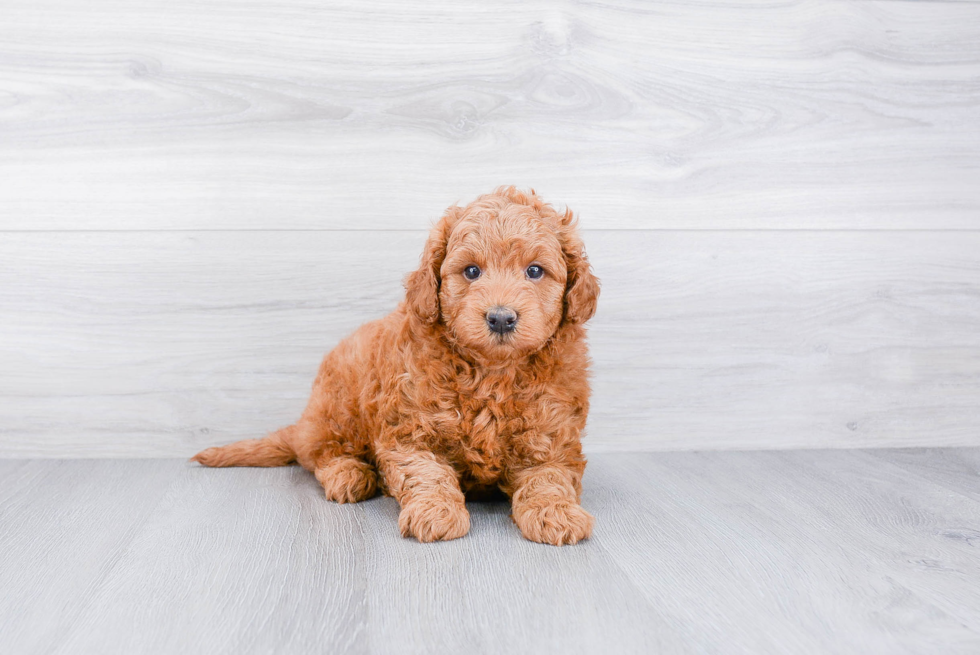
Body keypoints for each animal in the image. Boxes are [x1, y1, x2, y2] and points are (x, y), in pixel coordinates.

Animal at [193, 187, 596, 544]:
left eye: (535, 271)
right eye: (470, 272)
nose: (500, 318)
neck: (491, 373)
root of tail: (305, 423)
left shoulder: (553, 437)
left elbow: (548, 478)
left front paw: (556, 513)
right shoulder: (408, 429)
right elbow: (426, 472)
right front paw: (435, 511)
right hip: (339, 406)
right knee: (322, 454)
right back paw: (348, 474)